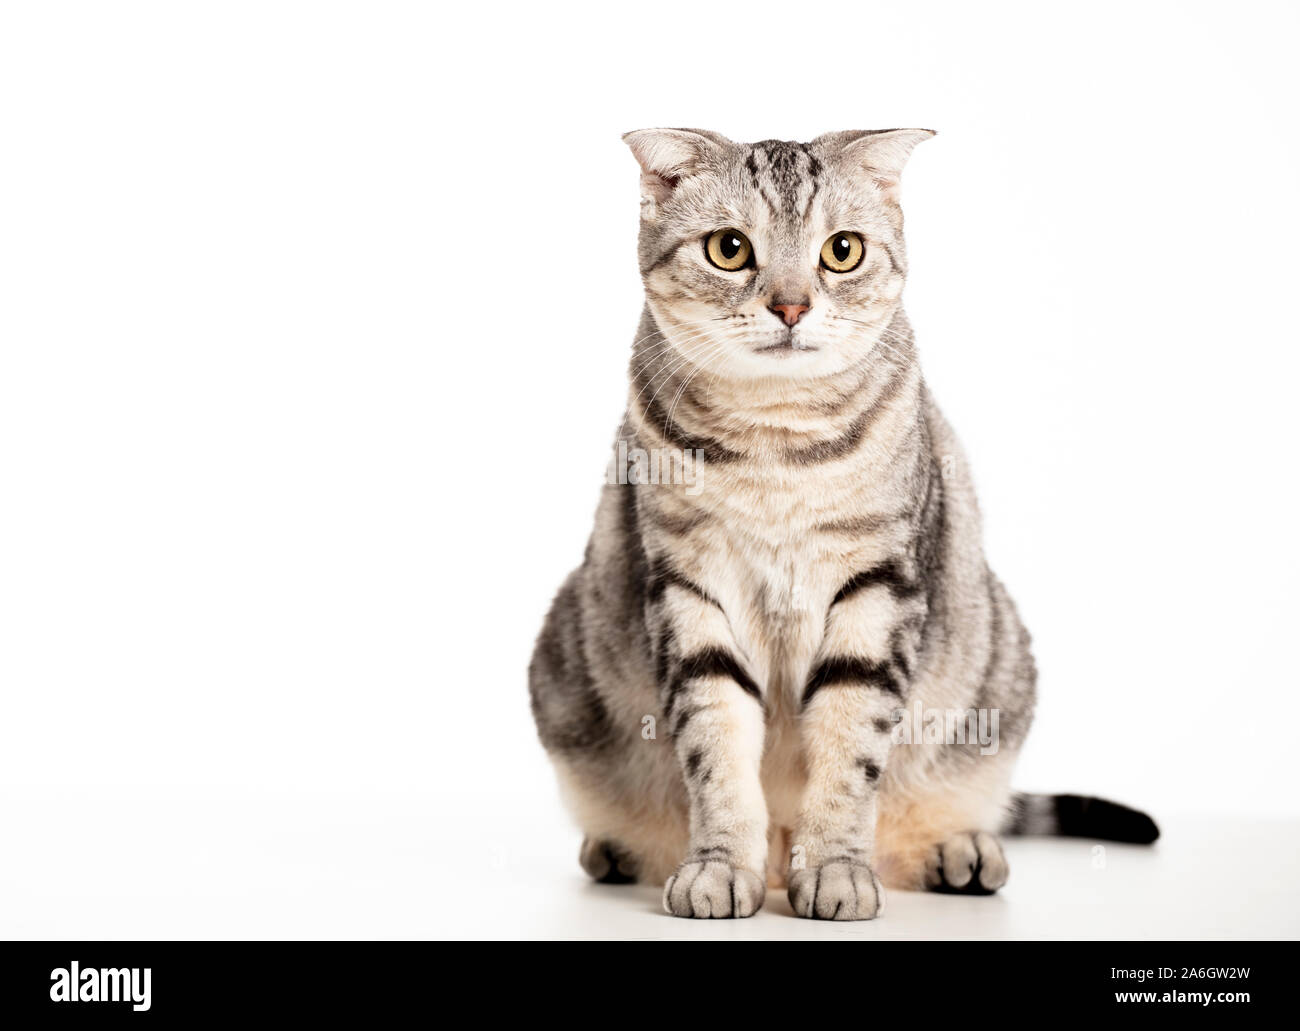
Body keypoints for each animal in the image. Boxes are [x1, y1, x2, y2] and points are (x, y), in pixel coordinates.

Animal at [527, 128, 1159, 915]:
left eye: (843, 250)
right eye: (729, 249)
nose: (792, 306)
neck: (776, 443)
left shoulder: (879, 585)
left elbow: (850, 746)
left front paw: (833, 867)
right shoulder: (687, 587)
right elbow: (715, 745)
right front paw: (718, 864)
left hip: (997, 671)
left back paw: (961, 851)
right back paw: (621, 850)